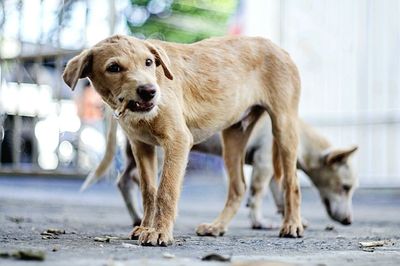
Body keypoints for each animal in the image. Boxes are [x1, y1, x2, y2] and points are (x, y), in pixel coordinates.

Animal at [63, 34, 304, 245]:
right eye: (113, 68)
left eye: (149, 62)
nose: (149, 91)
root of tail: (277, 47)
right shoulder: (142, 146)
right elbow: (149, 191)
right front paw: (146, 226)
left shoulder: (177, 140)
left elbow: (166, 191)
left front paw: (159, 232)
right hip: (233, 137)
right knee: (238, 188)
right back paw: (217, 227)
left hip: (284, 127)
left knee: (291, 182)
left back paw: (292, 225)